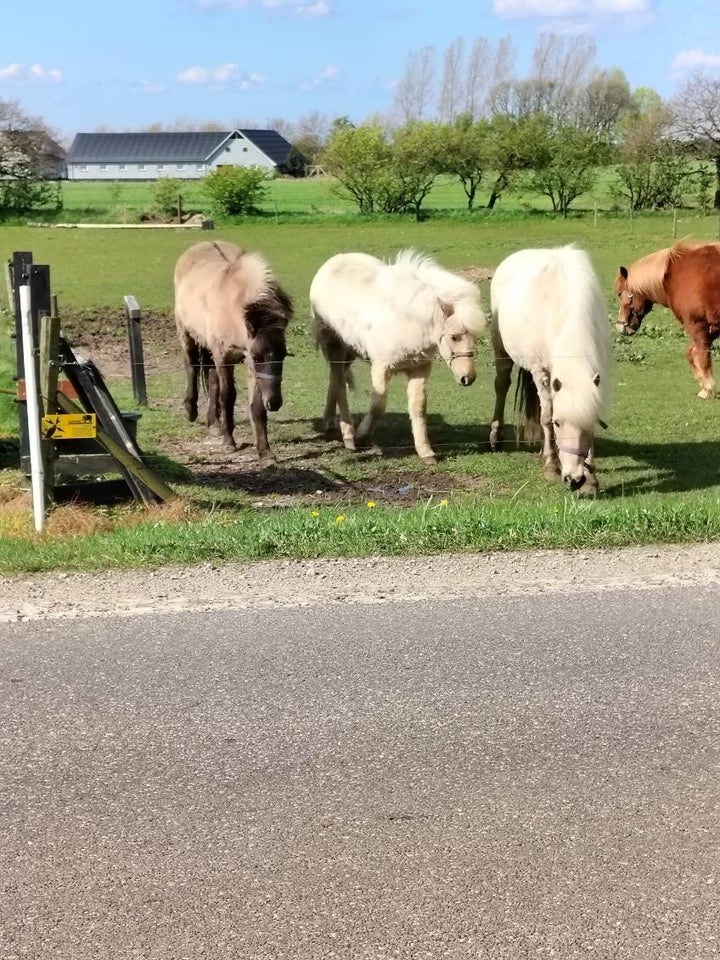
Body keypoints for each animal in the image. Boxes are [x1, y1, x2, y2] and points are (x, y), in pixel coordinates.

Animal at [486, 244, 612, 496]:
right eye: (558, 423)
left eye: (588, 425)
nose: (574, 479)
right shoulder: (541, 373)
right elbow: (545, 418)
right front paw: (552, 467)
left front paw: (592, 480)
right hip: (501, 350)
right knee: (502, 385)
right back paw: (496, 437)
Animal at [612, 244, 720, 402]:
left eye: (620, 294)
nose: (620, 326)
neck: (674, 277)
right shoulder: (712, 329)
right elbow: (691, 353)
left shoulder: (697, 326)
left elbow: (702, 356)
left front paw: (708, 389)